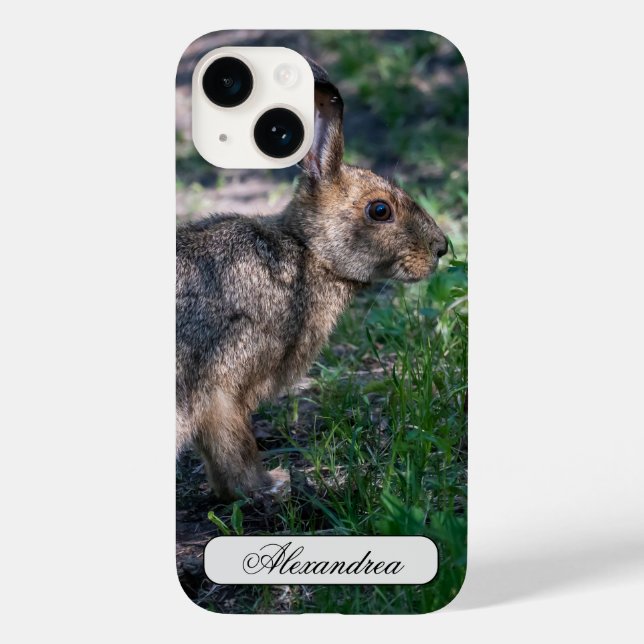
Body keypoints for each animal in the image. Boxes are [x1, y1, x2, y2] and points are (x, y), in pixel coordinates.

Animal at [176, 60, 448, 501]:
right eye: (379, 210)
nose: (441, 248)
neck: (307, 252)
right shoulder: (224, 386)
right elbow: (233, 447)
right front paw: (270, 485)